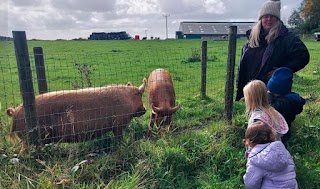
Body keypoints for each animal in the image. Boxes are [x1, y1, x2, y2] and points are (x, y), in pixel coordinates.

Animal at [6, 79, 146, 145]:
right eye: (140, 95)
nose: (145, 110)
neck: (128, 99)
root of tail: (15, 112)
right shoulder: (118, 124)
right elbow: (119, 138)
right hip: (28, 139)